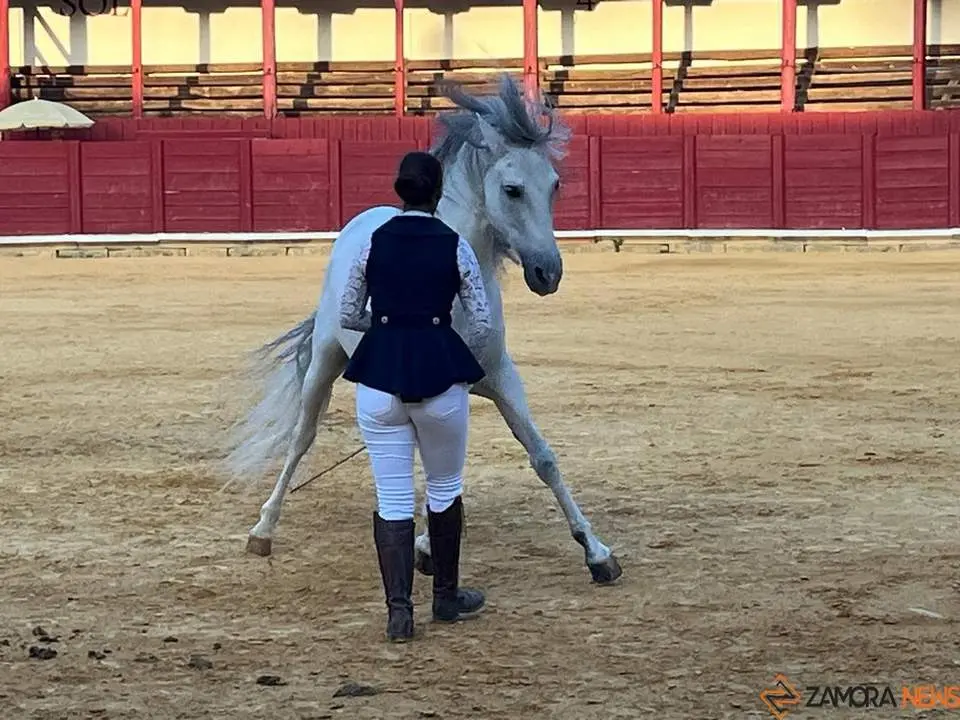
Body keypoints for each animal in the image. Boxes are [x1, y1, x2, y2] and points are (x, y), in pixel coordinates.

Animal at [223, 74, 622, 586]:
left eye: (554, 186)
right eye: (512, 189)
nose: (547, 273)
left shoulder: (500, 377)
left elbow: (541, 456)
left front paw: (597, 552)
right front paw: (427, 546)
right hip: (326, 358)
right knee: (302, 436)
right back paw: (263, 529)